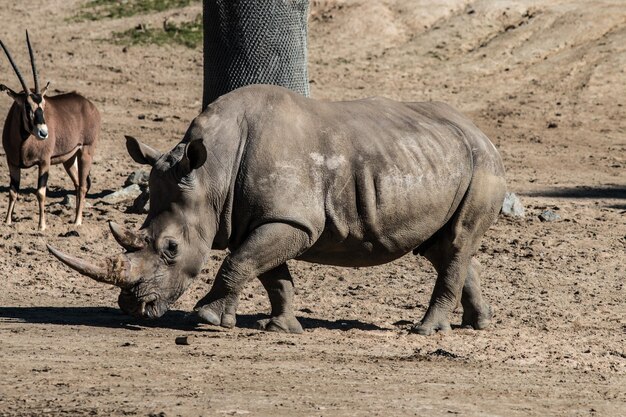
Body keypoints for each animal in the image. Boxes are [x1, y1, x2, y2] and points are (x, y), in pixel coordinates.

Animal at [0, 31, 100, 231]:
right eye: (27, 106)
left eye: (44, 105)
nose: (43, 133)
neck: (23, 142)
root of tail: (89, 105)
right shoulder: (12, 162)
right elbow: (13, 192)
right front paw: (7, 222)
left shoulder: (44, 162)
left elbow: (40, 193)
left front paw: (42, 226)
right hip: (69, 159)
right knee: (77, 184)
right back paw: (73, 219)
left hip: (86, 151)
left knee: (83, 186)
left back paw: (77, 222)